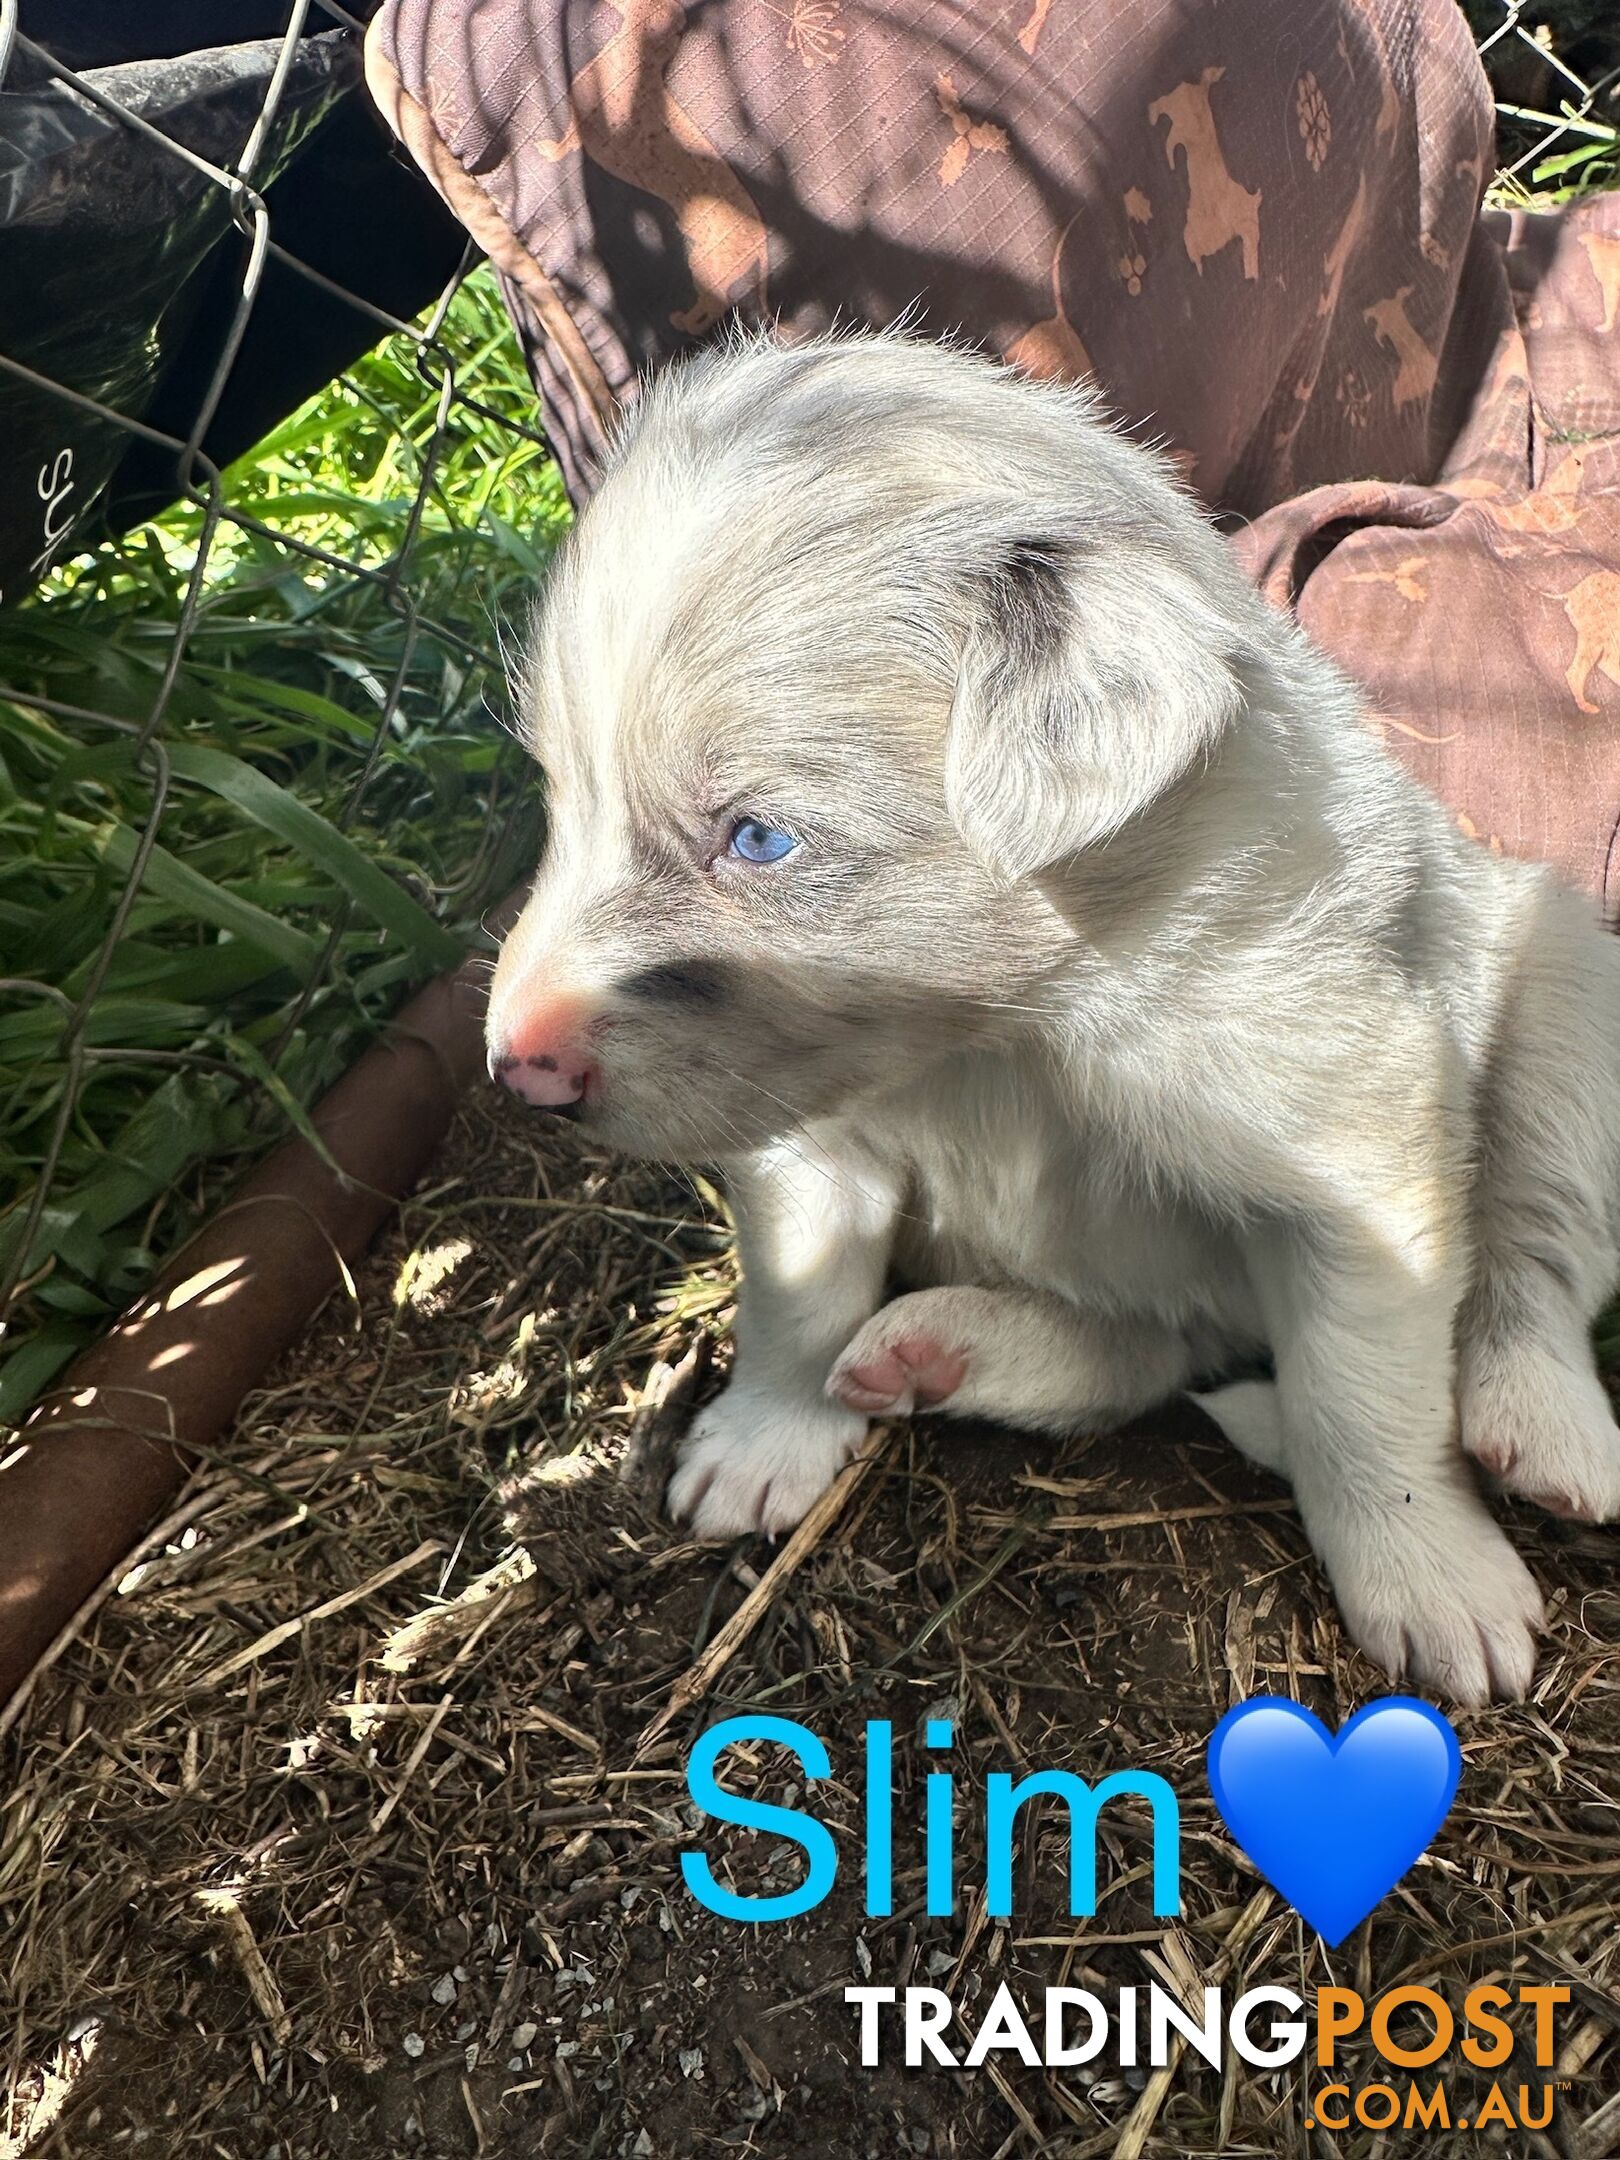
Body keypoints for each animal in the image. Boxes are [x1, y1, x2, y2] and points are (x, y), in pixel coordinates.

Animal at [488, 328, 1620, 1702]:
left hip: (1568, 996)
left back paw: (1541, 1427)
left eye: (757, 839)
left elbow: (1362, 1404)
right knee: (1147, 1355)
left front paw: (1432, 1581)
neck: (1011, 1039)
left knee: (1535, 1256)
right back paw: (945, 1348)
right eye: (563, 798)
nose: (513, 1067)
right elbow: (799, 1300)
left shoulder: (1360, 1173)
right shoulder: (810, 1143)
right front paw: (764, 1439)